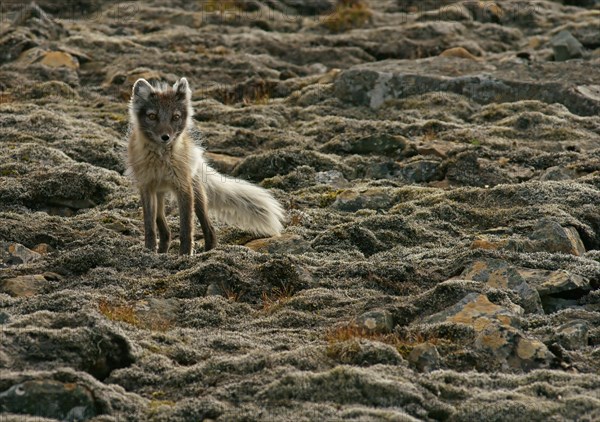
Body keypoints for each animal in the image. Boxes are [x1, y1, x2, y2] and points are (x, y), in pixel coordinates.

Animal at [126, 76, 284, 254]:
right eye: (152, 116)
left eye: (175, 117)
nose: (165, 137)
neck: (161, 159)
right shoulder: (146, 188)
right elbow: (149, 226)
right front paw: (148, 251)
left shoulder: (184, 189)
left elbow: (186, 228)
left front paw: (185, 255)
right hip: (159, 194)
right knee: (164, 228)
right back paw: (162, 250)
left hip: (197, 195)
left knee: (209, 228)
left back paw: (208, 251)